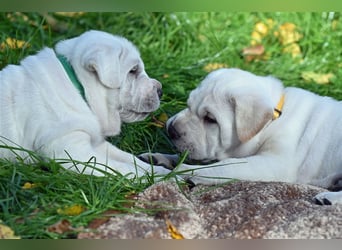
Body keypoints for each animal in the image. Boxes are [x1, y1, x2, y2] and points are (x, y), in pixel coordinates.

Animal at [0, 30, 170, 179]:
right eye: (133, 71)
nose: (160, 90)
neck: (78, 86)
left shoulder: (97, 144)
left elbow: (131, 159)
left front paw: (165, 172)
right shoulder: (73, 153)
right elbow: (123, 168)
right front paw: (159, 179)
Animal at [142, 68, 342, 205]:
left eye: (210, 119)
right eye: (188, 104)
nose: (171, 130)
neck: (272, 121)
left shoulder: (275, 163)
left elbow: (224, 165)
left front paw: (180, 171)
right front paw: (159, 157)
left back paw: (329, 197)